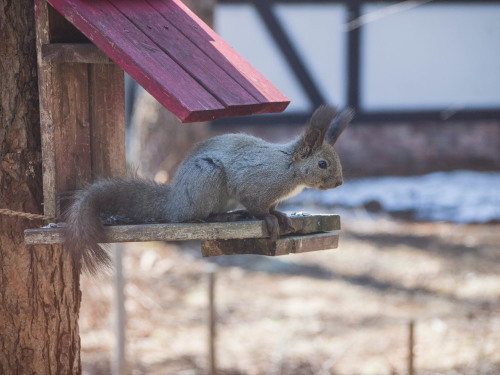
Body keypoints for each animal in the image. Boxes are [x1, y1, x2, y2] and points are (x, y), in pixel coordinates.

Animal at [64, 104, 354, 274]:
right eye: (322, 164)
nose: (339, 183)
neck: (288, 168)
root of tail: (175, 201)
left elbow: (272, 207)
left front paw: (281, 215)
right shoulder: (254, 184)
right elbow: (258, 207)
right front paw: (270, 219)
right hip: (208, 179)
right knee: (196, 216)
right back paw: (225, 216)